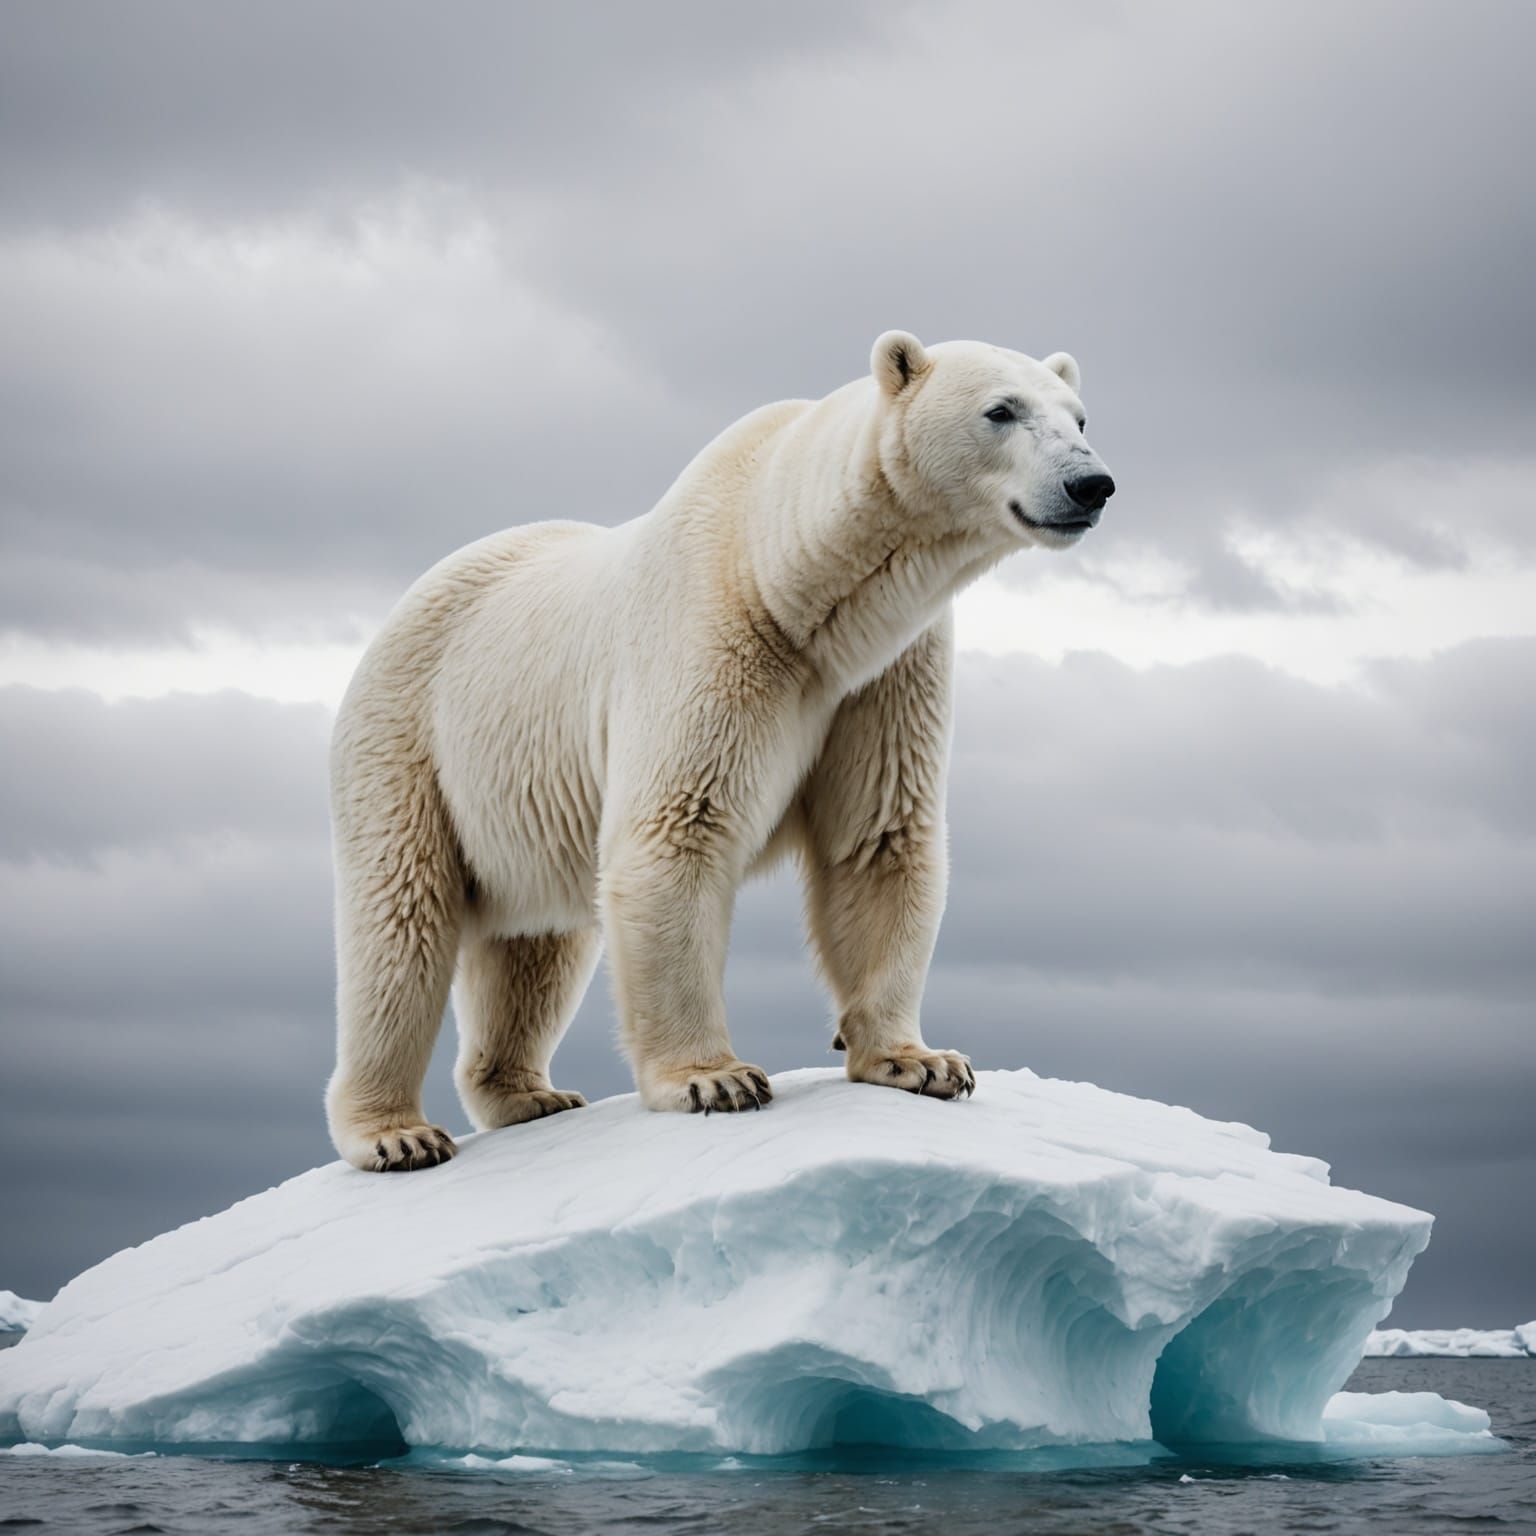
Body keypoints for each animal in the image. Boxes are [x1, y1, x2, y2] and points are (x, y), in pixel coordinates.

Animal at [325, 332, 1115, 1170]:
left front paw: (921, 1061)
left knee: (536, 945)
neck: (788, 577)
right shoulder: (714, 637)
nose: (1091, 483)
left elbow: (877, 835)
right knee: (399, 925)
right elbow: (680, 827)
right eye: (1001, 410)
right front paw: (714, 1079)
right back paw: (396, 1132)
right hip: (411, 741)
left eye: (1079, 415)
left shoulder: (885, 674)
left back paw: (527, 1094)